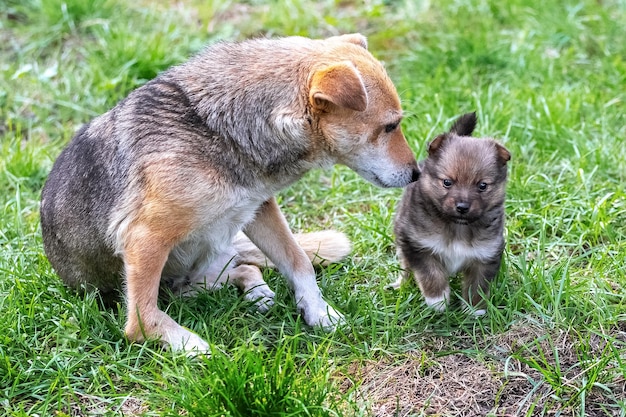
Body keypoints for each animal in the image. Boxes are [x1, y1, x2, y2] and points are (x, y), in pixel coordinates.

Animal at [40, 34, 420, 352]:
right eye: (390, 126)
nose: (417, 174)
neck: (215, 128)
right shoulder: (144, 238)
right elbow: (141, 321)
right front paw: (193, 348)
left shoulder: (258, 206)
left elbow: (297, 261)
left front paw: (318, 311)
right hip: (183, 280)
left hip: (210, 261)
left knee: (244, 267)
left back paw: (259, 293)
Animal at [390, 112, 508, 314]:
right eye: (447, 182)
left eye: (482, 186)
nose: (462, 207)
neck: (457, 226)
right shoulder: (417, 245)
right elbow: (430, 274)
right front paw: (437, 300)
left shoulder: (485, 255)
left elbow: (478, 285)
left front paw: (474, 309)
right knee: (405, 265)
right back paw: (401, 285)